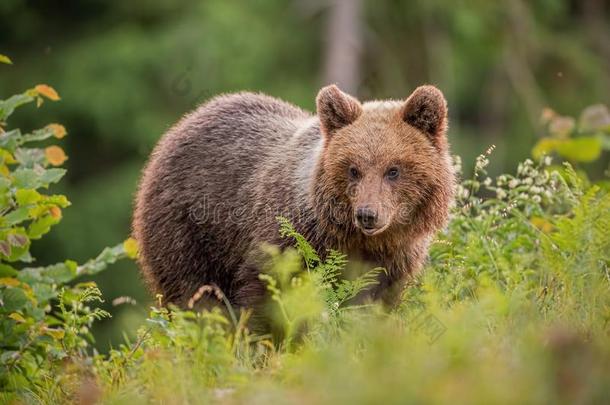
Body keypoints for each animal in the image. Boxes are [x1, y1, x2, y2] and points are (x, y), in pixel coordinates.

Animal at [134, 83, 456, 312]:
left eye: (393, 170)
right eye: (353, 169)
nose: (367, 214)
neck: (357, 240)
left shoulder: (395, 259)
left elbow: (374, 303)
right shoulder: (290, 240)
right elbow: (268, 293)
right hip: (189, 229)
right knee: (193, 293)